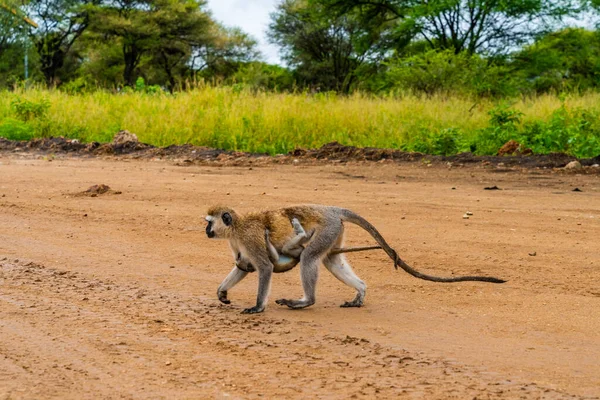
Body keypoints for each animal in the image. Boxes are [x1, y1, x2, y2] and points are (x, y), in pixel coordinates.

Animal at [206, 205, 506, 314]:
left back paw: (306, 300)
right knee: (329, 261)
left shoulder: (249, 238)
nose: (206, 231)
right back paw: (359, 292)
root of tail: (330, 209)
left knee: (310, 258)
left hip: (327, 228)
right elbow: (243, 268)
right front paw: (222, 292)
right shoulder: (238, 244)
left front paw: (258, 307)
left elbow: (264, 267)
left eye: (209, 222)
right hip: (335, 232)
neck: (236, 227)